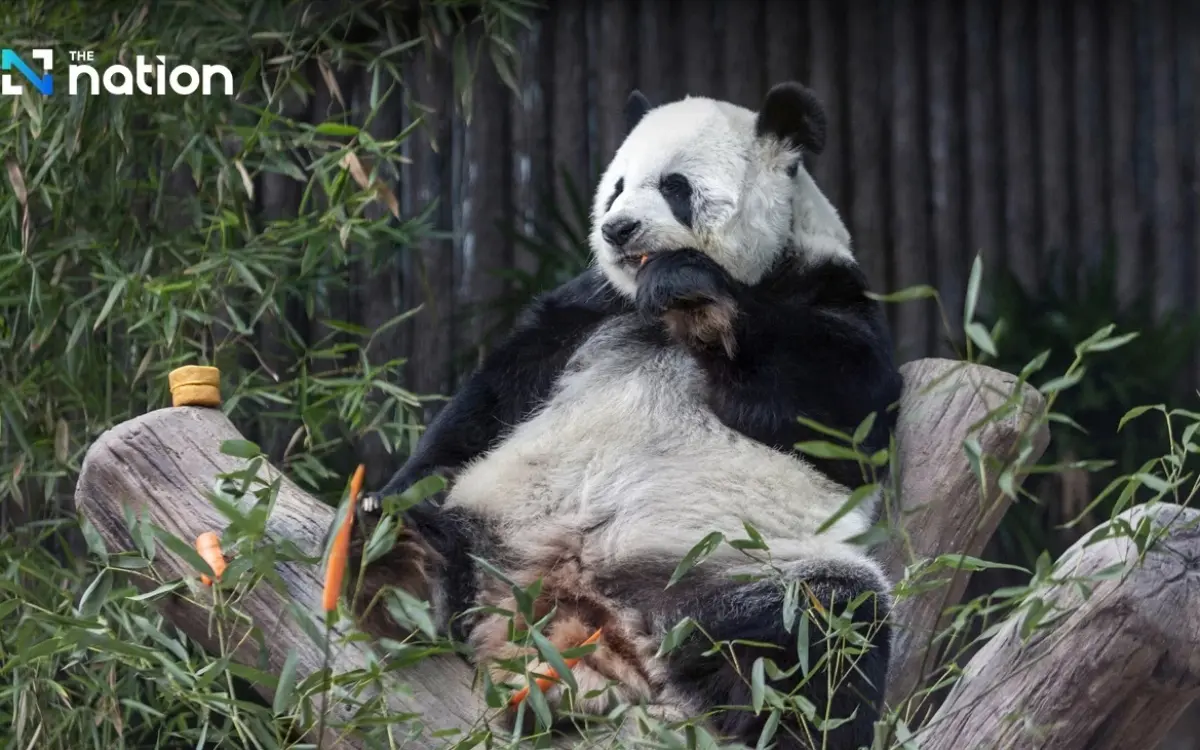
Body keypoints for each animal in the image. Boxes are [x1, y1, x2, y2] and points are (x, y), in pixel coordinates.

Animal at [354, 81, 904, 749]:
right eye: (616, 186)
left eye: (674, 186)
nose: (617, 229)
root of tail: (571, 602)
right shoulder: (588, 309)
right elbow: (491, 399)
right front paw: (397, 491)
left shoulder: (827, 289)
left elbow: (849, 414)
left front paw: (693, 287)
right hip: (496, 520)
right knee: (437, 533)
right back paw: (391, 555)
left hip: (732, 564)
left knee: (823, 633)